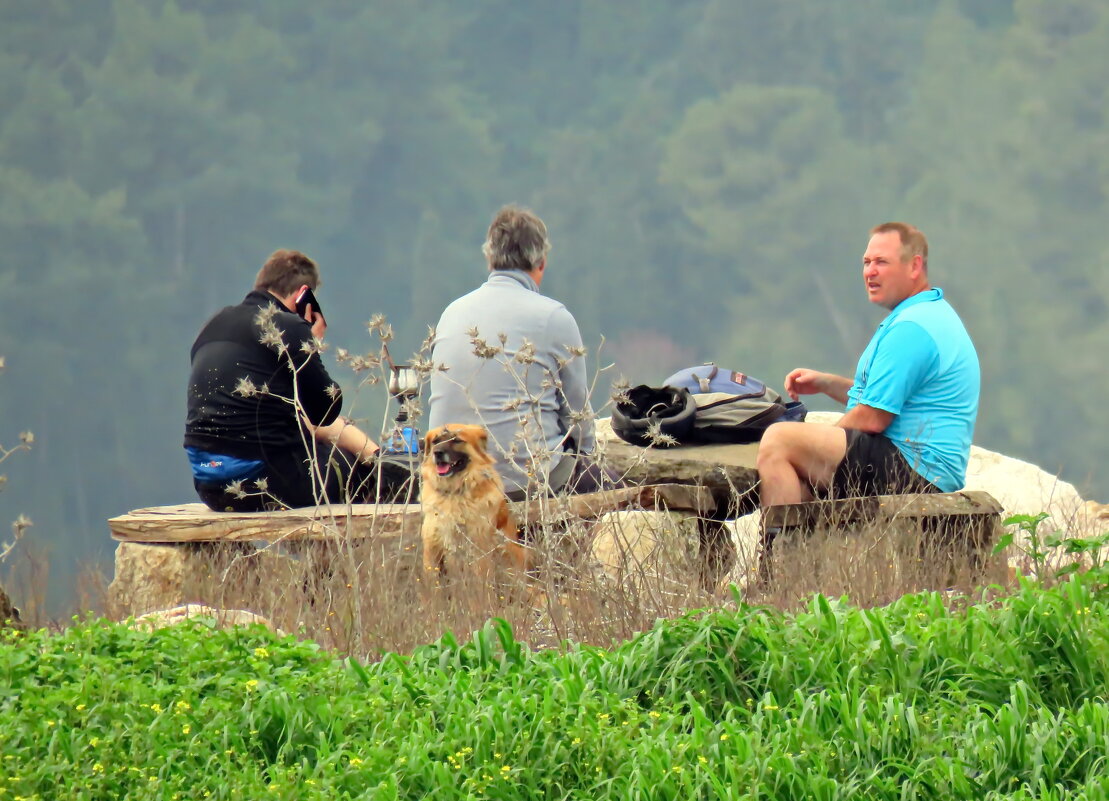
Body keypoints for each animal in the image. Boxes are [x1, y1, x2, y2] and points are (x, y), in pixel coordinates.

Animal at [419, 423, 532, 585]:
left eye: (457, 440)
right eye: (435, 441)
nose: (438, 453)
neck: (454, 492)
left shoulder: (478, 547)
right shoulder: (432, 547)